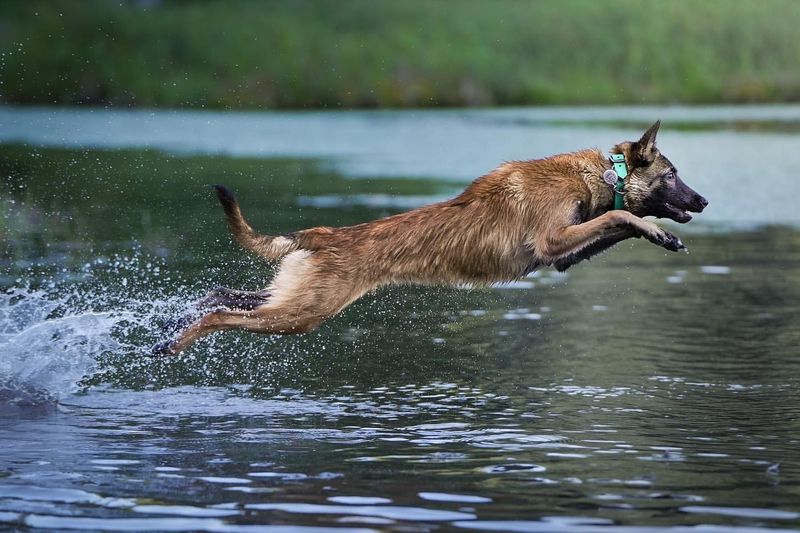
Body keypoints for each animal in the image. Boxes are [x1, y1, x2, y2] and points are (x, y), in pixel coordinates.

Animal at [155, 120, 708, 354]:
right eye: (673, 174)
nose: (703, 202)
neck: (604, 174)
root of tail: (319, 233)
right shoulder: (552, 241)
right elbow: (622, 220)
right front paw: (658, 232)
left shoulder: (561, 256)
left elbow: (615, 224)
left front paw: (660, 237)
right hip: (302, 315)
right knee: (220, 314)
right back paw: (173, 345)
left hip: (290, 301)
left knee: (218, 294)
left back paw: (170, 324)